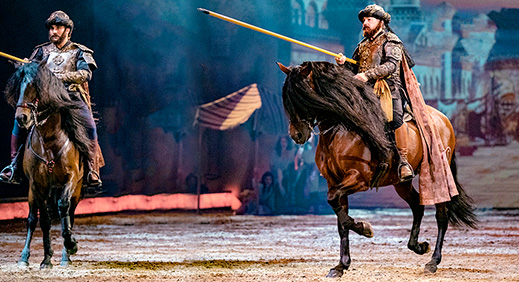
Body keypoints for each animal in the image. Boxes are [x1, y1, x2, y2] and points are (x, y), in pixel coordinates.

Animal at [3, 62, 93, 268]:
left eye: (36, 87)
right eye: (20, 87)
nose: (22, 118)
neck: (49, 141)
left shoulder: (71, 179)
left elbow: (63, 208)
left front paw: (71, 245)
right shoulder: (37, 185)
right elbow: (43, 220)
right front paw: (46, 259)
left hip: (75, 191)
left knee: (69, 214)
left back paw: (66, 257)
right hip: (33, 193)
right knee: (31, 219)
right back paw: (24, 258)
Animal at [278, 61, 478, 278]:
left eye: (302, 96)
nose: (297, 135)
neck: (341, 129)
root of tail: (444, 120)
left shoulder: (358, 179)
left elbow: (336, 205)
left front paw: (365, 228)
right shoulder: (335, 182)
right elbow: (340, 220)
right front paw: (341, 265)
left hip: (438, 174)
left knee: (442, 215)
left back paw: (433, 261)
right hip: (401, 184)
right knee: (417, 206)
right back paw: (418, 246)